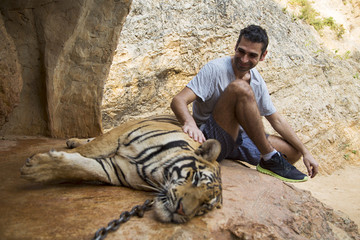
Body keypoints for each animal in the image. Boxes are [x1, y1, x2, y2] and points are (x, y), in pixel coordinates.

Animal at [20, 115, 222, 222]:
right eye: (196, 179)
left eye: (204, 206)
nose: (181, 211)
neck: (156, 172)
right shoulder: (116, 137)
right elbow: (86, 151)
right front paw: (34, 165)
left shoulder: (115, 170)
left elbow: (83, 167)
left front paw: (36, 168)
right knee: (93, 139)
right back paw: (72, 141)